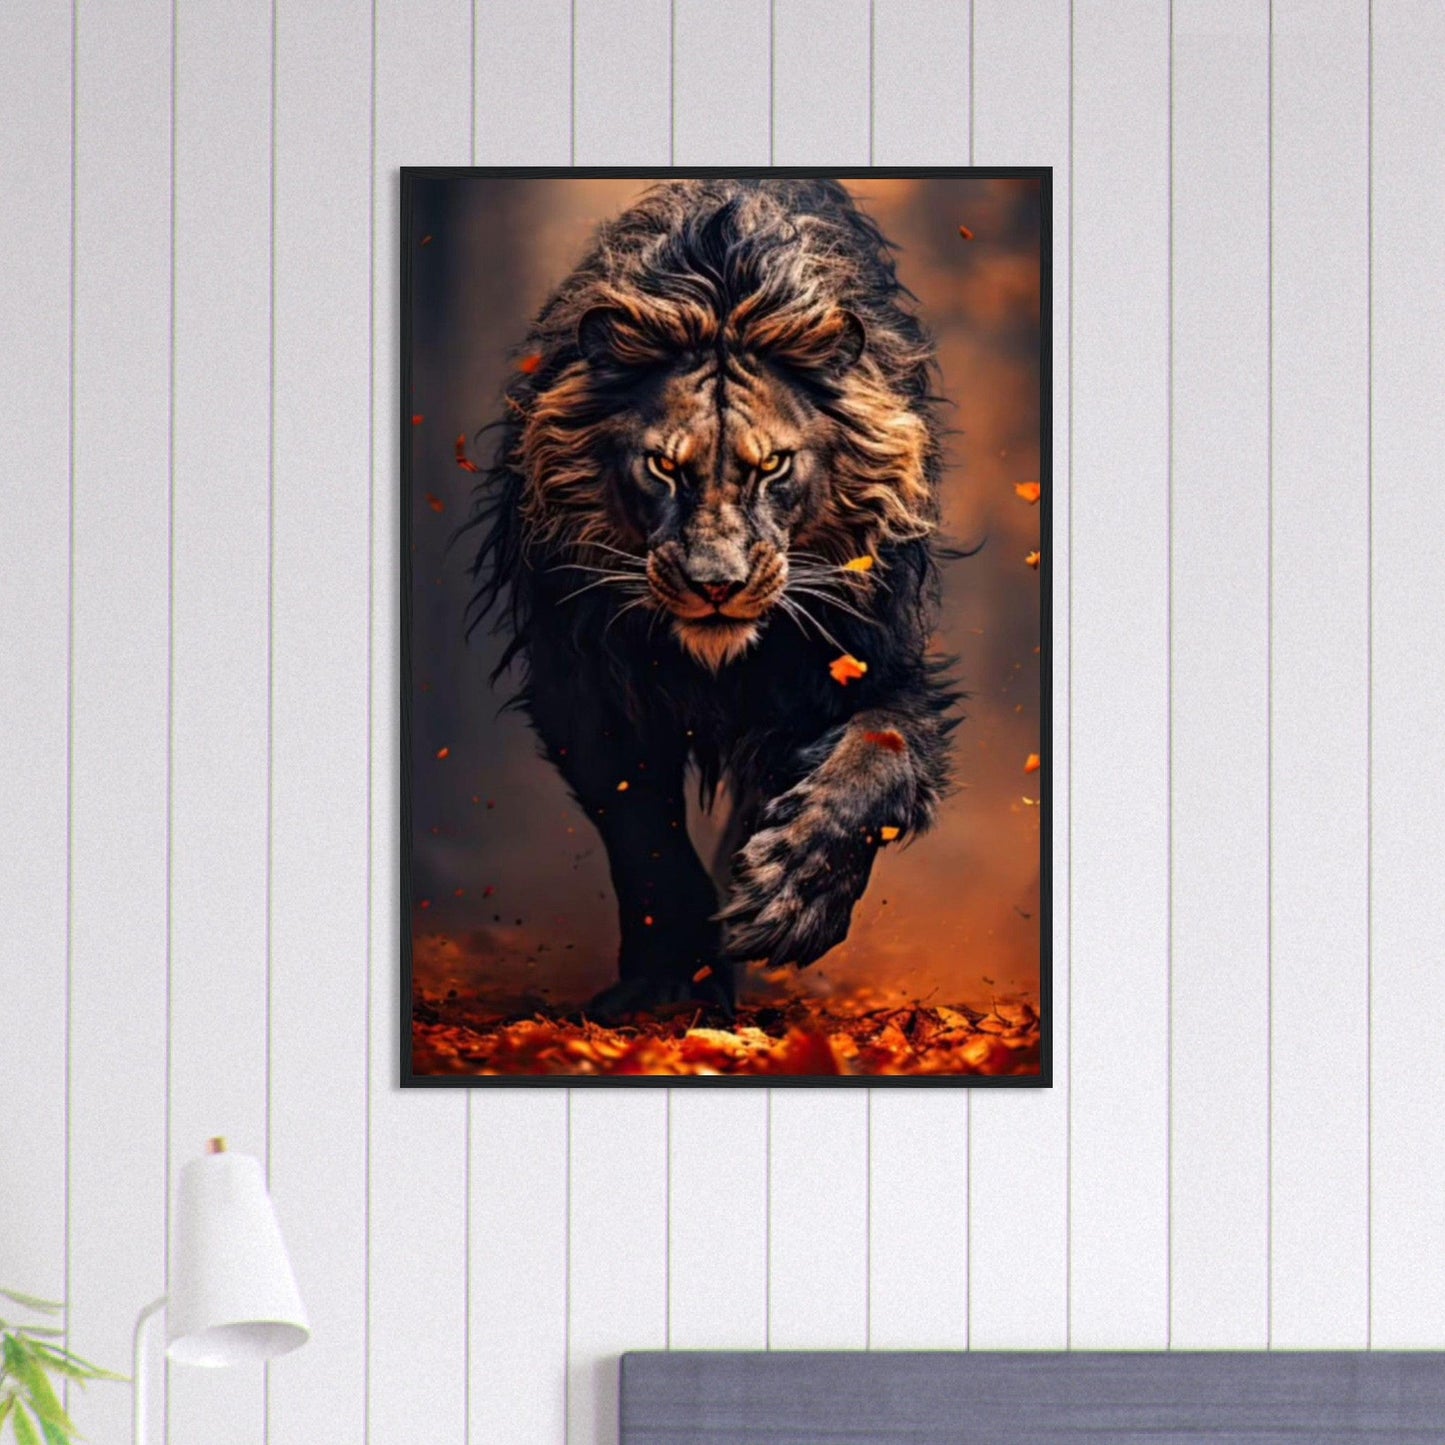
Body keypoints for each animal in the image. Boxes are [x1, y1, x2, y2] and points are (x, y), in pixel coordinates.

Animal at [465, 178, 962, 1017]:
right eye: (663, 467)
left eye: (773, 467)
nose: (716, 584)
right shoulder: (587, 684)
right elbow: (645, 837)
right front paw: (673, 980)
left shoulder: (881, 667)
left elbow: (874, 761)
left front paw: (789, 897)